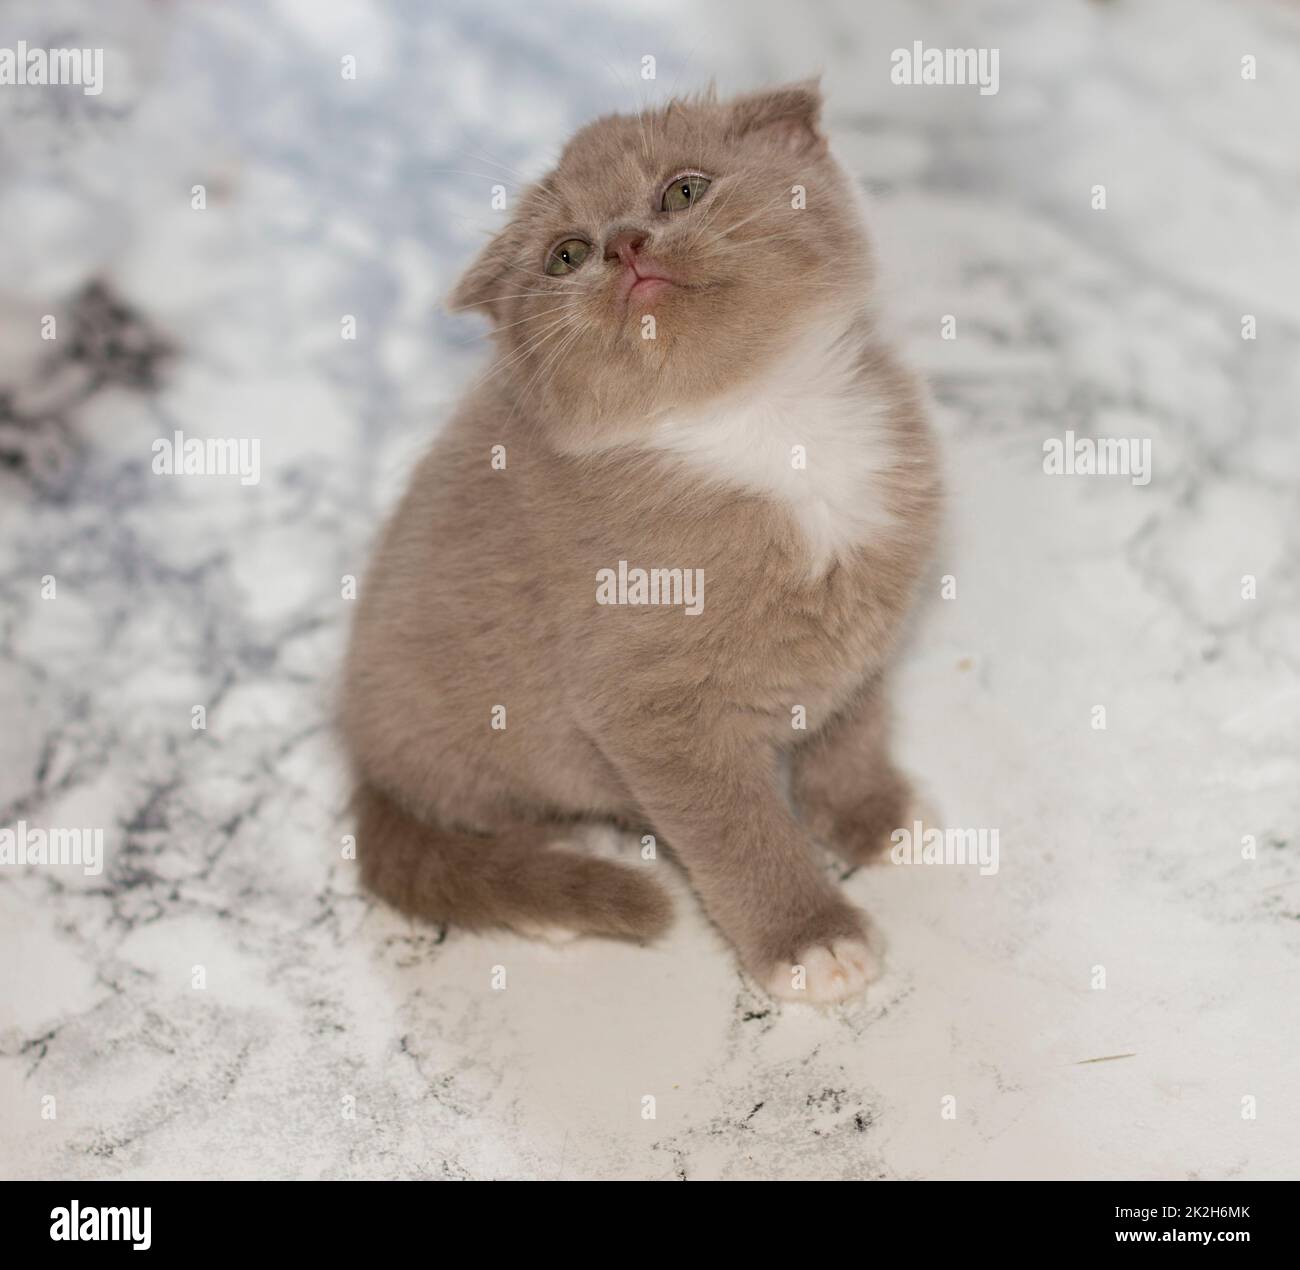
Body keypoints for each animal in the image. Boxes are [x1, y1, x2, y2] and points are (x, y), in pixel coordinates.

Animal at [340, 84, 941, 1003]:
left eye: (684, 191)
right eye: (566, 255)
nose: (624, 245)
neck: (765, 427)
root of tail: (357, 753)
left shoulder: (863, 627)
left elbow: (853, 731)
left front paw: (876, 818)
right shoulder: (650, 713)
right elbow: (738, 831)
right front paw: (811, 938)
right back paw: (551, 893)